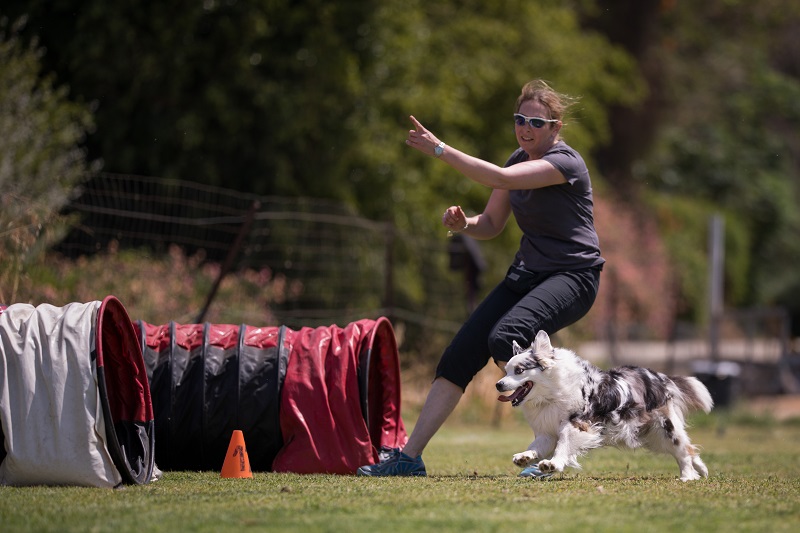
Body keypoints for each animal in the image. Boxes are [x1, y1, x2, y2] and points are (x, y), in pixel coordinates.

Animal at [496, 330, 716, 480]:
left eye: (519, 370)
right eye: (506, 370)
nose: (498, 384)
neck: (551, 394)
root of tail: (661, 377)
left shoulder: (578, 425)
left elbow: (563, 445)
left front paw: (553, 464)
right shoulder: (548, 431)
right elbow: (537, 446)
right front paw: (525, 457)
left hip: (664, 428)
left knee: (683, 451)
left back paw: (687, 476)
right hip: (651, 436)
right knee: (689, 449)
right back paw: (700, 469)